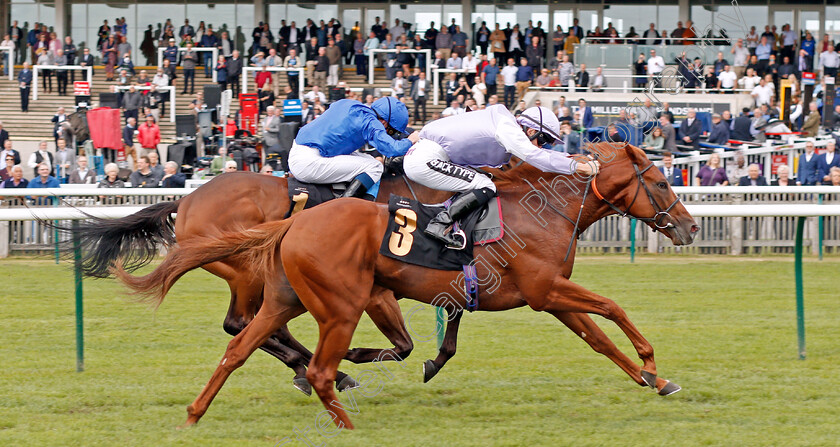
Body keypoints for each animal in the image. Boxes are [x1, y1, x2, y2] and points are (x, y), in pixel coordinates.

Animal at [113, 144, 704, 430]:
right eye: (659, 180)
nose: (690, 226)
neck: (540, 209)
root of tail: (190, 199)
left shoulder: (551, 294)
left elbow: (598, 338)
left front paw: (655, 380)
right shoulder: (545, 291)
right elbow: (613, 308)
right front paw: (652, 364)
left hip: (281, 295)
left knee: (239, 342)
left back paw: (201, 412)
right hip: (304, 293)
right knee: (265, 340)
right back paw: (331, 387)